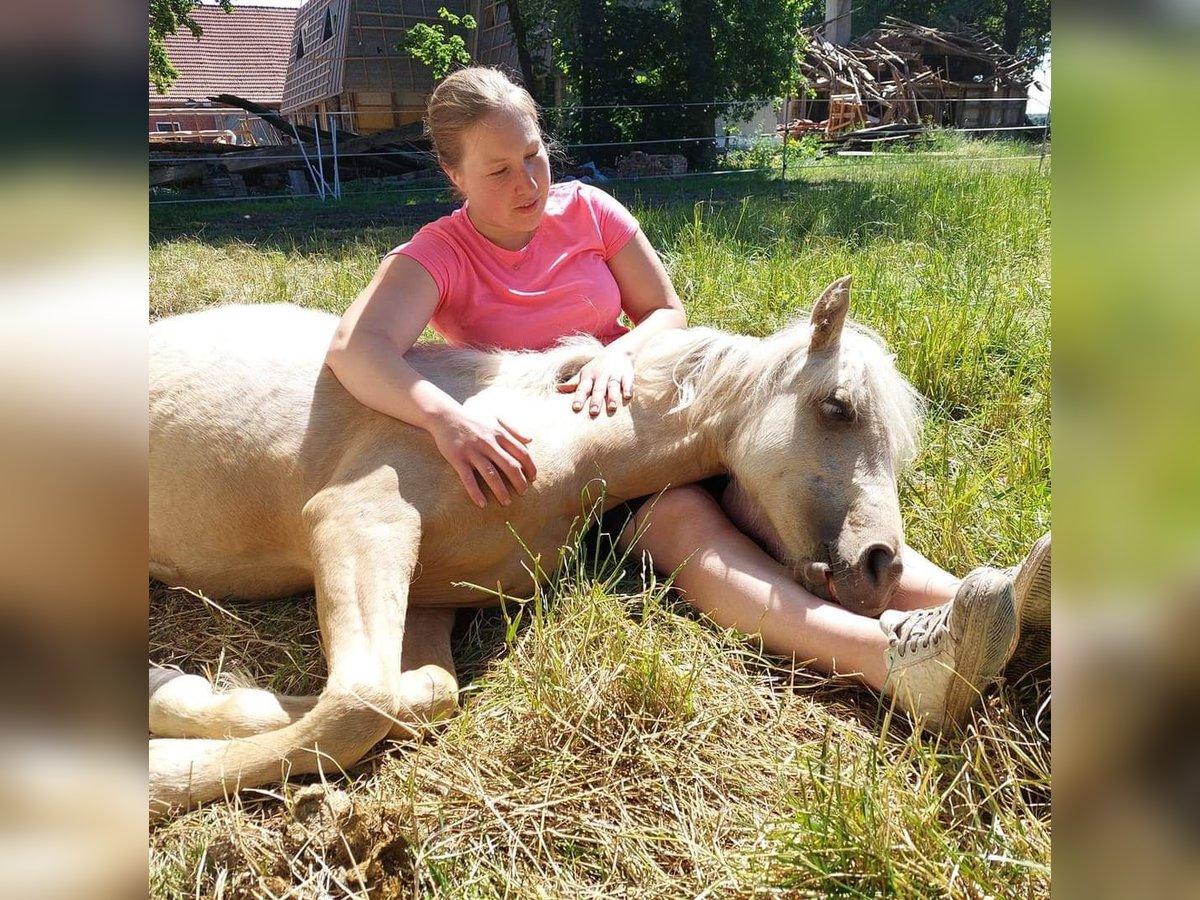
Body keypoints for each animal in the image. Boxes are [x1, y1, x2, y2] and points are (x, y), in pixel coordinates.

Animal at [147, 274, 916, 816]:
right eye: (838, 407)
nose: (881, 566)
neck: (564, 443)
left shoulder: (433, 596)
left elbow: (422, 695)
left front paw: (179, 696)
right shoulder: (359, 521)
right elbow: (358, 703)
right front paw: (161, 768)